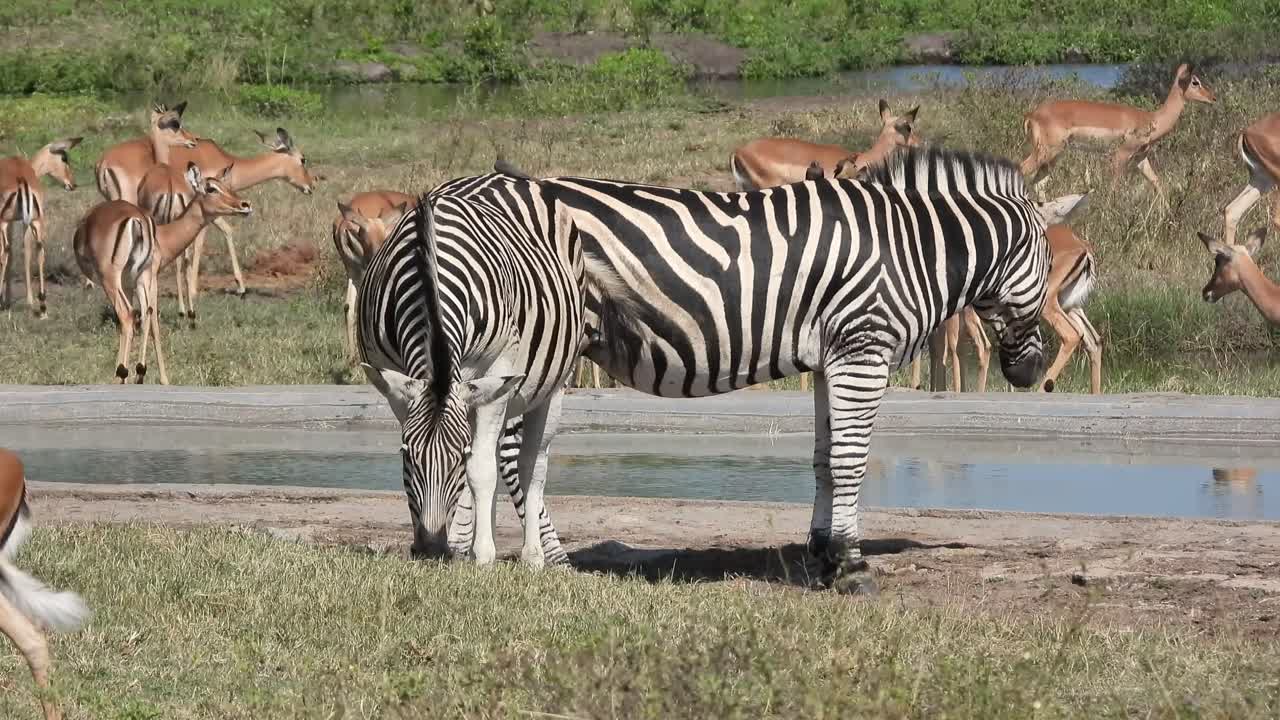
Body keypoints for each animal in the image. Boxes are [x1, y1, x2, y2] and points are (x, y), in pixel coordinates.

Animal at [0, 137, 82, 317]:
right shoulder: (22, 222)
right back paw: (42, 305)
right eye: (64, 158)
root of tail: (22, 180)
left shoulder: (10, 223)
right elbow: (25, 252)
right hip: (35, 221)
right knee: (39, 249)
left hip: (6, 221)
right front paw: (28, 301)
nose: (73, 184)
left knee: (6, 251)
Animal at [74, 163, 252, 384]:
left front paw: (143, 375)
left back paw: (125, 373)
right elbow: (148, 319)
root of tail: (136, 221)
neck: (164, 238)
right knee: (139, 314)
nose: (245, 205)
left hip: (113, 279)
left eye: (226, 186)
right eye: (211, 188)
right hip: (130, 280)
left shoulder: (144, 280)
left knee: (129, 315)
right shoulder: (138, 282)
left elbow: (146, 321)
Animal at [357, 172, 587, 567]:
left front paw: (483, 555)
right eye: (406, 455)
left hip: (550, 386)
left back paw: (531, 555)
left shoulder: (500, 364)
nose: (430, 549)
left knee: (532, 466)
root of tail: (503, 176)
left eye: (457, 461)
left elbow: (480, 469)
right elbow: (478, 467)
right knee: (497, 455)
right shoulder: (397, 381)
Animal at [498, 146, 1085, 593]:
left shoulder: (832, 360)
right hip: (539, 350)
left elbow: (825, 460)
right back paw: (549, 561)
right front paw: (851, 566)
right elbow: (851, 462)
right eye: (1045, 263)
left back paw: (553, 558)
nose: (1032, 374)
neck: (909, 248)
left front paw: (822, 555)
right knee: (511, 450)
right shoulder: (863, 351)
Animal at [1020, 63, 1215, 206]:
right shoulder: (1120, 155)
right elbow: (1115, 187)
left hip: (1054, 157)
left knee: (1039, 183)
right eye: (1195, 82)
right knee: (1022, 169)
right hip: (1045, 152)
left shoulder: (1140, 158)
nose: (1212, 97)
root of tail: (1032, 114)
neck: (1152, 119)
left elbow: (1157, 182)